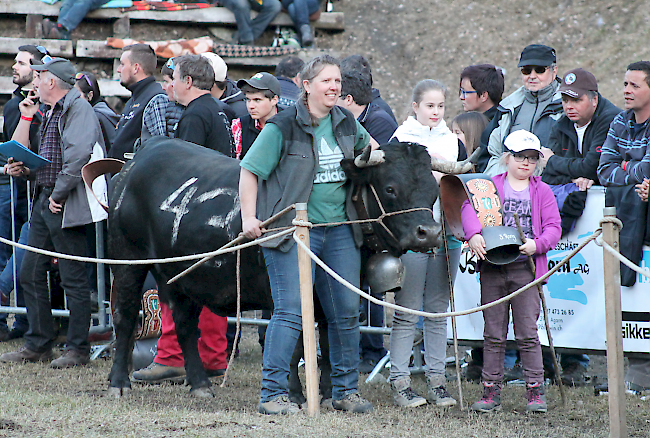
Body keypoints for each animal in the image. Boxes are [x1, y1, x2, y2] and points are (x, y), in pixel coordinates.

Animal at [107, 137, 470, 396]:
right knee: (125, 317)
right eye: (390, 188)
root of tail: (142, 154)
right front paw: (295, 394)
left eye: (432, 189)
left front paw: (328, 391)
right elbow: (295, 342)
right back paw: (118, 383)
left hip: (185, 276)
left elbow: (329, 338)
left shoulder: (334, 288)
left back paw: (200, 385)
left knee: (184, 324)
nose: (429, 233)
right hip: (127, 260)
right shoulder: (284, 291)